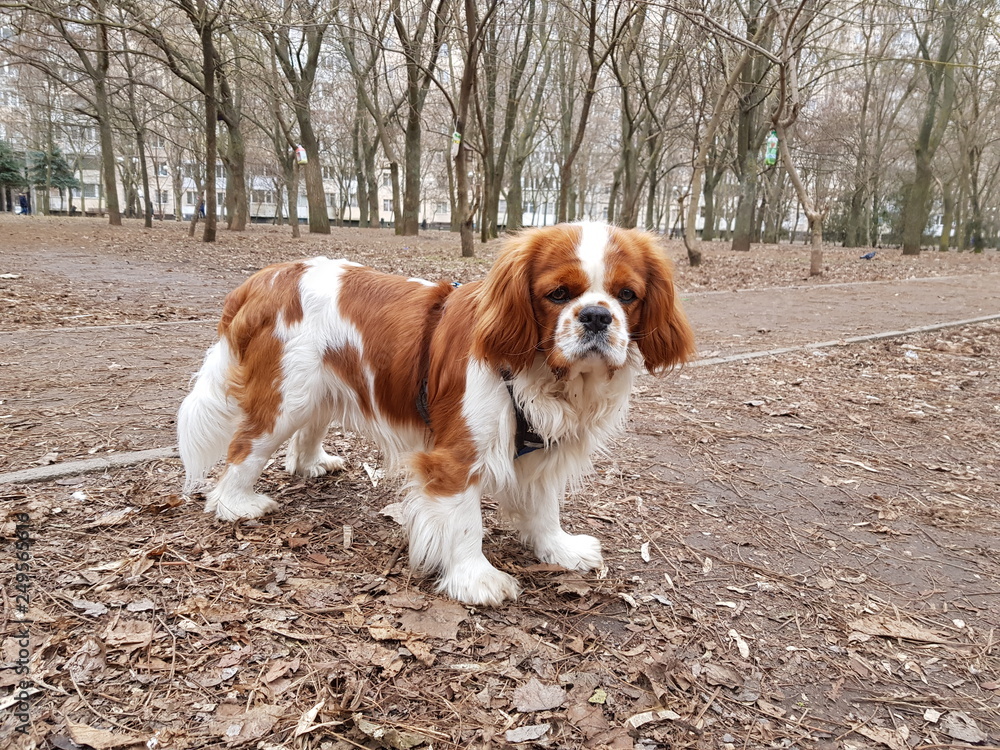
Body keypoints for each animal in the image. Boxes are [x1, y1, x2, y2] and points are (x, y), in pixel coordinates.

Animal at [178, 222, 696, 604]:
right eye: (559, 295)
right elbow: (466, 522)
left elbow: (545, 508)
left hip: (320, 391)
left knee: (303, 436)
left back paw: (312, 464)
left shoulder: (543, 451)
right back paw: (237, 505)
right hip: (286, 397)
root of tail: (266, 277)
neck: (543, 375)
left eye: (627, 295)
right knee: (244, 449)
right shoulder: (456, 458)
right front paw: (476, 579)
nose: (596, 316)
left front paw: (558, 549)